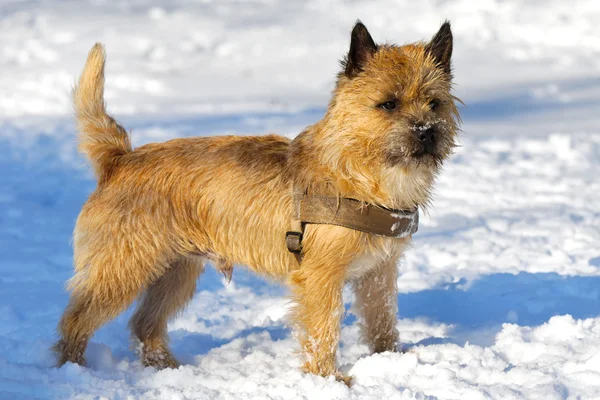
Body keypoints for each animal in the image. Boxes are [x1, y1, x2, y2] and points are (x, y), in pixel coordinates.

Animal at [55, 19, 460, 384]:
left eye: (434, 103)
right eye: (388, 104)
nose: (427, 132)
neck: (363, 173)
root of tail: (119, 159)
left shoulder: (379, 273)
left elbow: (383, 321)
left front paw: (390, 360)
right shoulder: (321, 277)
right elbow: (324, 330)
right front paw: (327, 379)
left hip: (176, 272)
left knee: (145, 324)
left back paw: (168, 369)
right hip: (122, 269)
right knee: (75, 320)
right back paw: (71, 371)